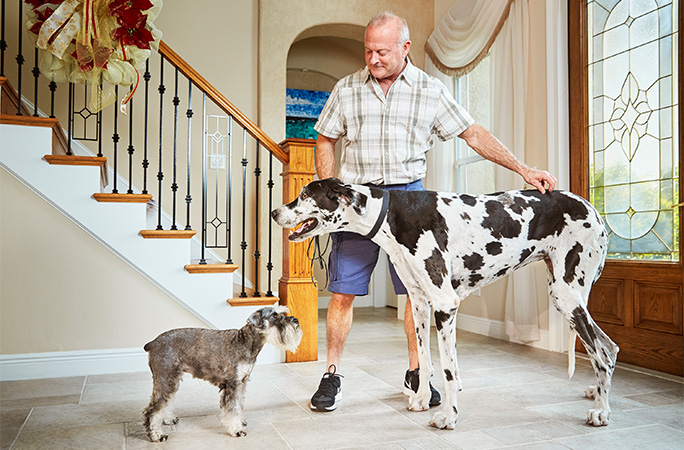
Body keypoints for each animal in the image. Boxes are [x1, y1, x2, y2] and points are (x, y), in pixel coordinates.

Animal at [272, 178, 620, 430]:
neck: (390, 214)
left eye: (304, 194)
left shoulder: (444, 304)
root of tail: (592, 208)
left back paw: (602, 411)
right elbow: (425, 360)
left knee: (602, 354)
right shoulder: (419, 302)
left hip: (566, 294)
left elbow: (449, 370)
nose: (275, 213)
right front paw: (422, 399)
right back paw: (598, 393)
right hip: (568, 296)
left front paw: (449, 418)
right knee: (609, 346)